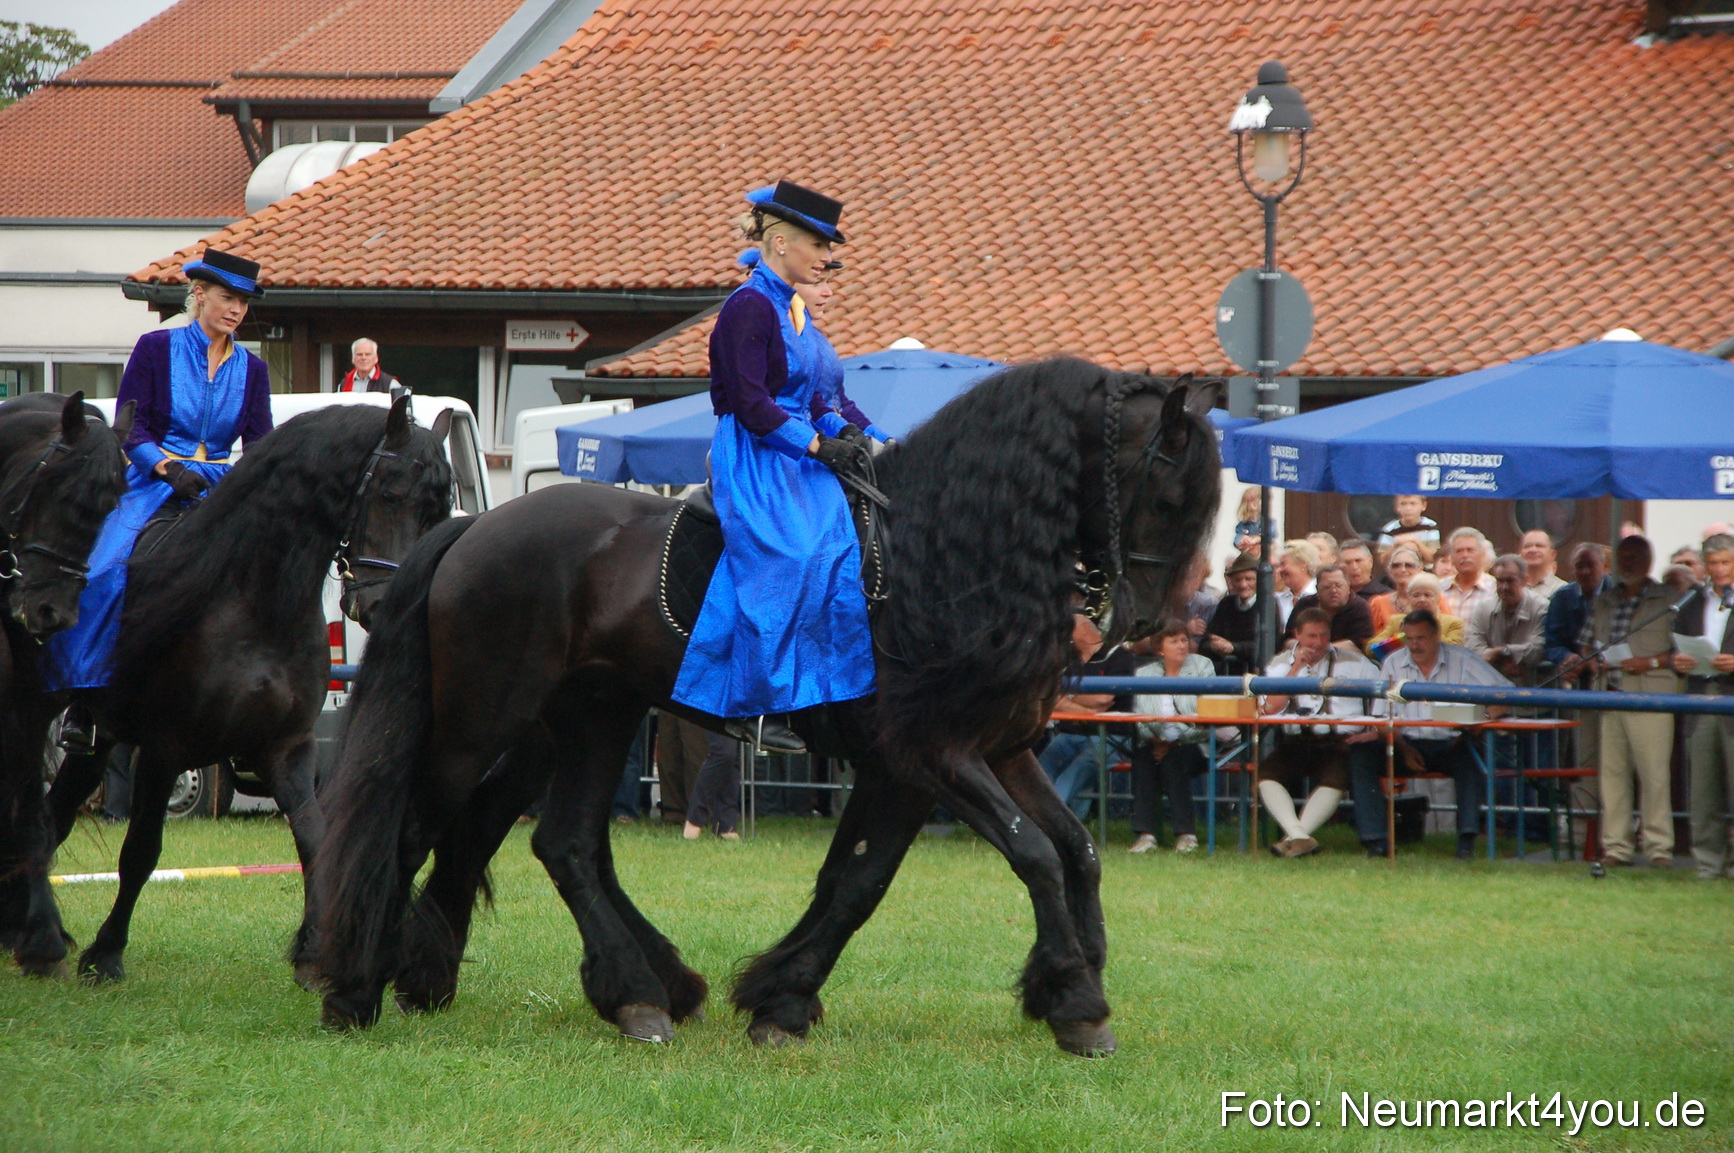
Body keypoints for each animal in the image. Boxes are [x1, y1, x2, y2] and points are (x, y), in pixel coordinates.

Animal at [34, 396, 454, 984]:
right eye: (390, 494)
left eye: (438, 510)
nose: (385, 604)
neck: (253, 601)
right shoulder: (164, 750)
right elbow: (141, 851)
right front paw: (107, 954)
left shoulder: (286, 748)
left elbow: (315, 838)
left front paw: (313, 953)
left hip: (101, 738)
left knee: (58, 814)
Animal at [313, 357, 1222, 1056]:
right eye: (1169, 496)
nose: (1142, 622)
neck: (942, 554)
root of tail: (477, 528)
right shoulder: (927, 757)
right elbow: (1021, 856)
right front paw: (1077, 1002)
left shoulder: (985, 751)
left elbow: (1052, 854)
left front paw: (784, 995)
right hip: (479, 721)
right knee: (417, 826)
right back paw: (353, 986)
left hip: (591, 719)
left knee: (558, 841)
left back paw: (634, 992)